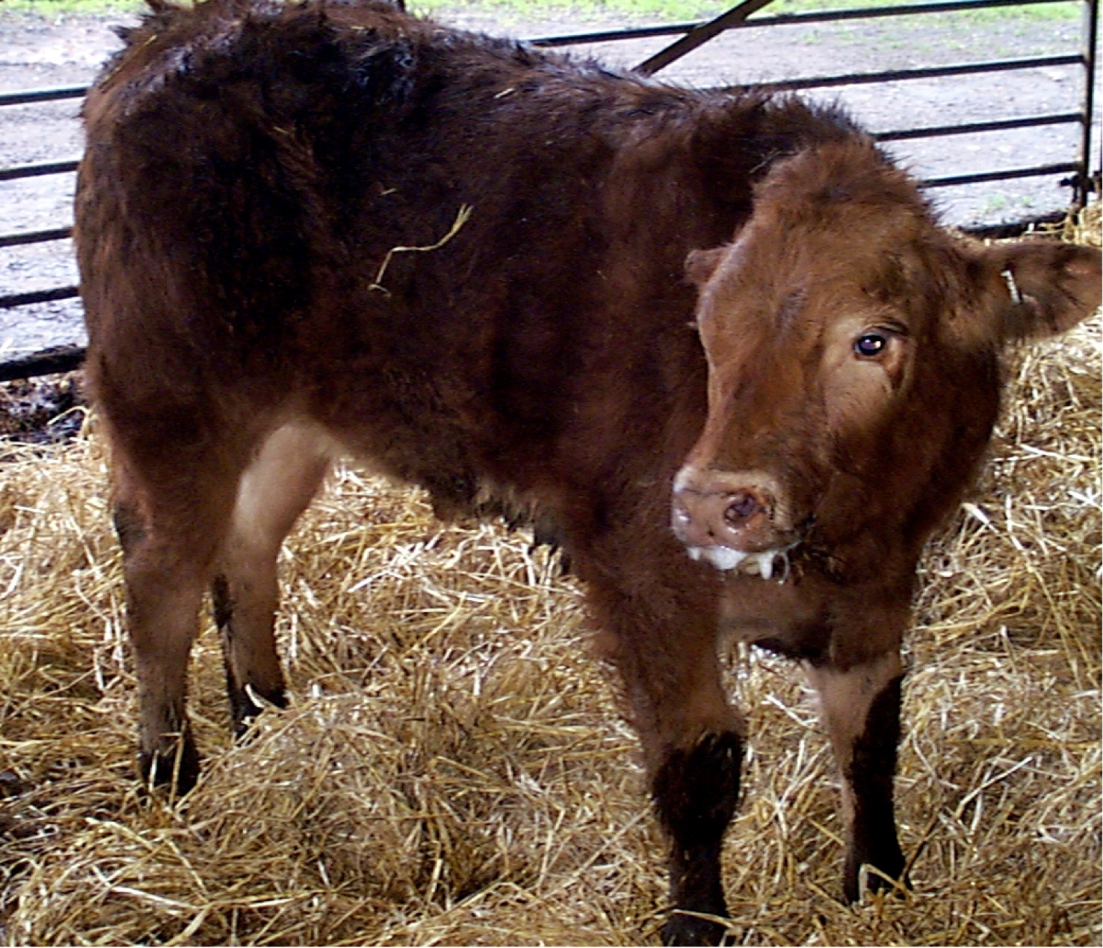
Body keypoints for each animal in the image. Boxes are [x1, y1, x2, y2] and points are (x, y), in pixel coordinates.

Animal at [73, 3, 1098, 944]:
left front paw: (880, 883)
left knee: (245, 548)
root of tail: (174, 30)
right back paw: (169, 769)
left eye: (873, 339)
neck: (840, 539)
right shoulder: (646, 583)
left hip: (289, 424)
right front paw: (696, 924)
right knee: (161, 577)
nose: (713, 502)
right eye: (705, 332)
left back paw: (265, 715)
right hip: (170, 397)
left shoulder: (881, 592)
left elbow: (872, 740)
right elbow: (699, 769)